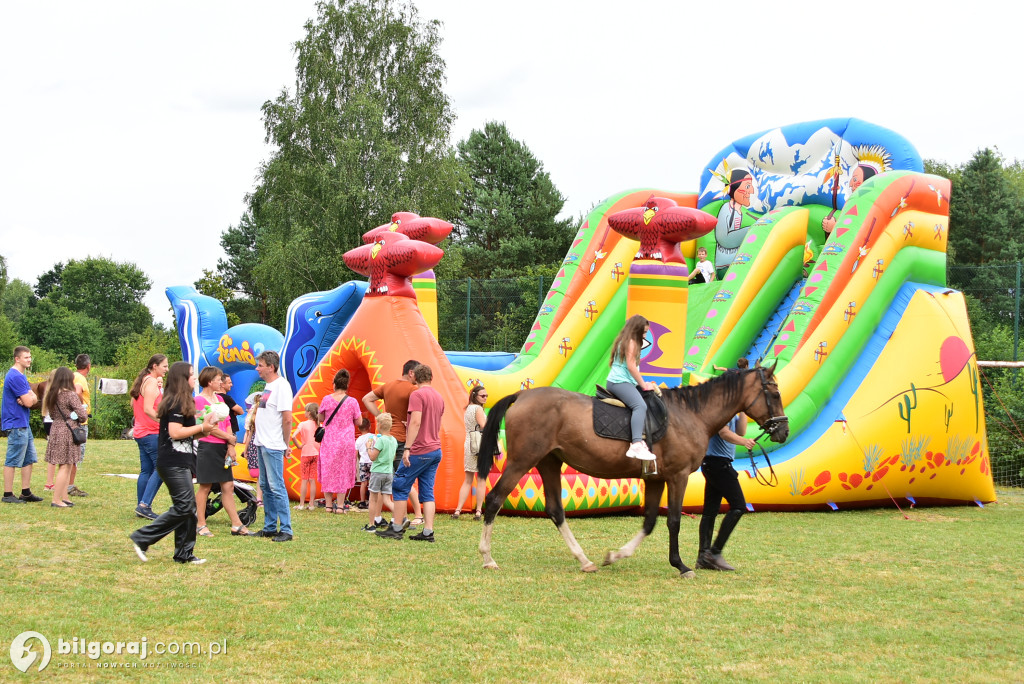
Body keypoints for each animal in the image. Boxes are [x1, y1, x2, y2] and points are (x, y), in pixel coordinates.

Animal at [475, 362, 786, 577]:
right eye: (774, 392)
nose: (783, 430)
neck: (689, 415)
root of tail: (521, 396)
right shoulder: (677, 476)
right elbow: (674, 520)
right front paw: (681, 565)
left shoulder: (656, 479)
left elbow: (649, 522)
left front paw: (615, 556)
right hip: (522, 462)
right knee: (494, 499)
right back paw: (487, 558)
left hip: (549, 462)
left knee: (555, 511)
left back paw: (584, 560)